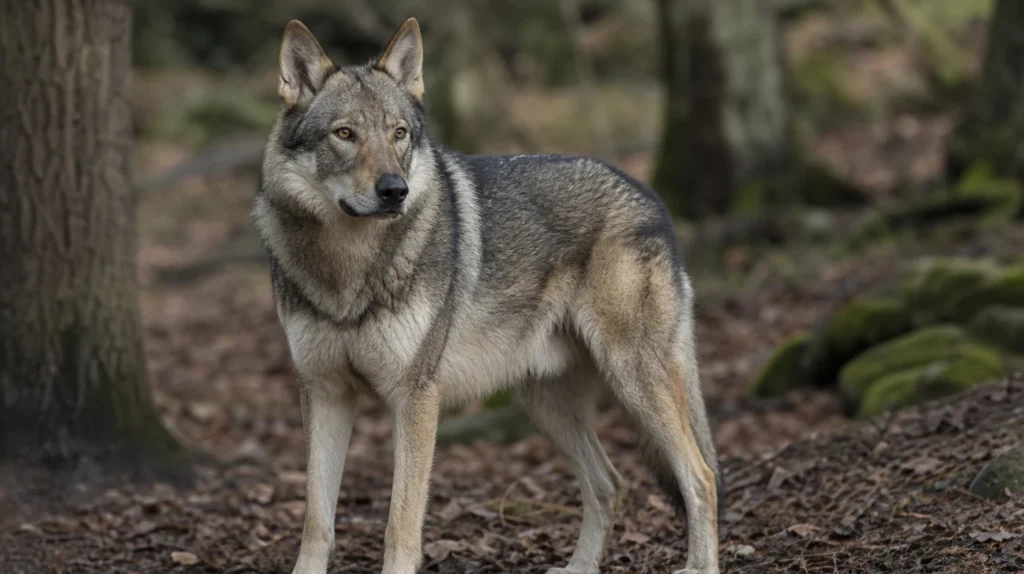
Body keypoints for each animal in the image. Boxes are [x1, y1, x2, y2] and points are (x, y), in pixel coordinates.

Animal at [253, 17, 721, 574]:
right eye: (345, 134)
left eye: (399, 134)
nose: (395, 191)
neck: (348, 269)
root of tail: (650, 196)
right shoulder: (324, 393)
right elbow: (317, 520)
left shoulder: (416, 398)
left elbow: (400, 523)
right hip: (546, 404)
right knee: (610, 482)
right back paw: (578, 567)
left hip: (634, 381)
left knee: (701, 477)